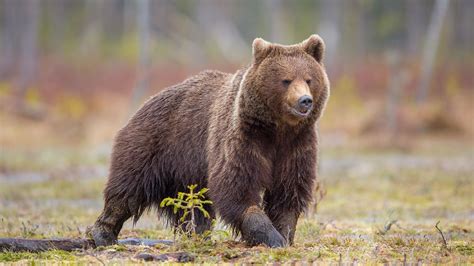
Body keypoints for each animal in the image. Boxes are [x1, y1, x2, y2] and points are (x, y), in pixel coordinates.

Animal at [90, 34, 332, 247]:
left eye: (309, 79)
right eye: (286, 80)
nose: (305, 100)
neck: (276, 129)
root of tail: (146, 101)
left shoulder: (296, 145)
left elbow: (288, 191)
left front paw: (284, 234)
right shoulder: (243, 138)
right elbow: (236, 187)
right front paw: (270, 236)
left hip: (187, 173)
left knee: (195, 208)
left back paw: (197, 235)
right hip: (153, 144)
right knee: (127, 189)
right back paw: (103, 233)